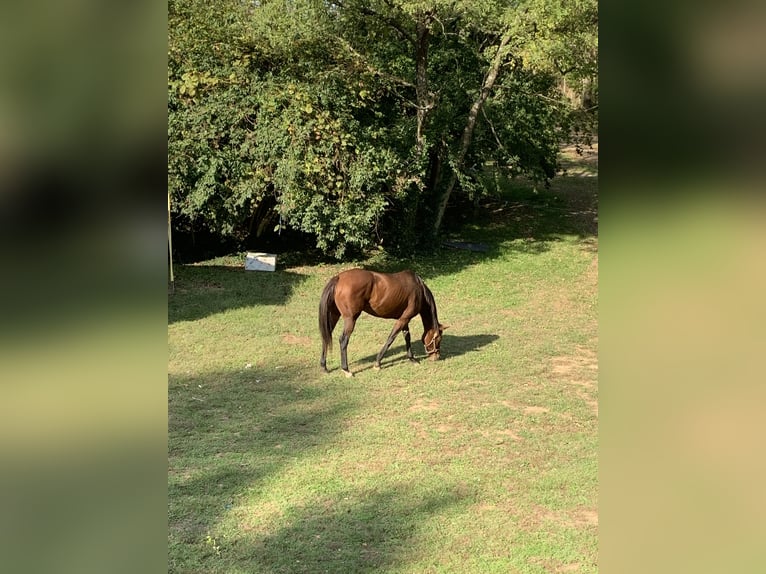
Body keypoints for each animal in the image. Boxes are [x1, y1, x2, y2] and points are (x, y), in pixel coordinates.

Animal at [320, 270, 450, 378]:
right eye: (438, 339)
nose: (436, 357)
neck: (419, 289)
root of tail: (339, 278)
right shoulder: (403, 319)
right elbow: (391, 339)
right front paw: (377, 363)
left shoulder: (404, 320)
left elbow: (407, 337)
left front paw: (412, 359)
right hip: (350, 319)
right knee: (343, 340)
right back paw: (346, 370)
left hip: (334, 315)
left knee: (326, 337)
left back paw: (323, 366)